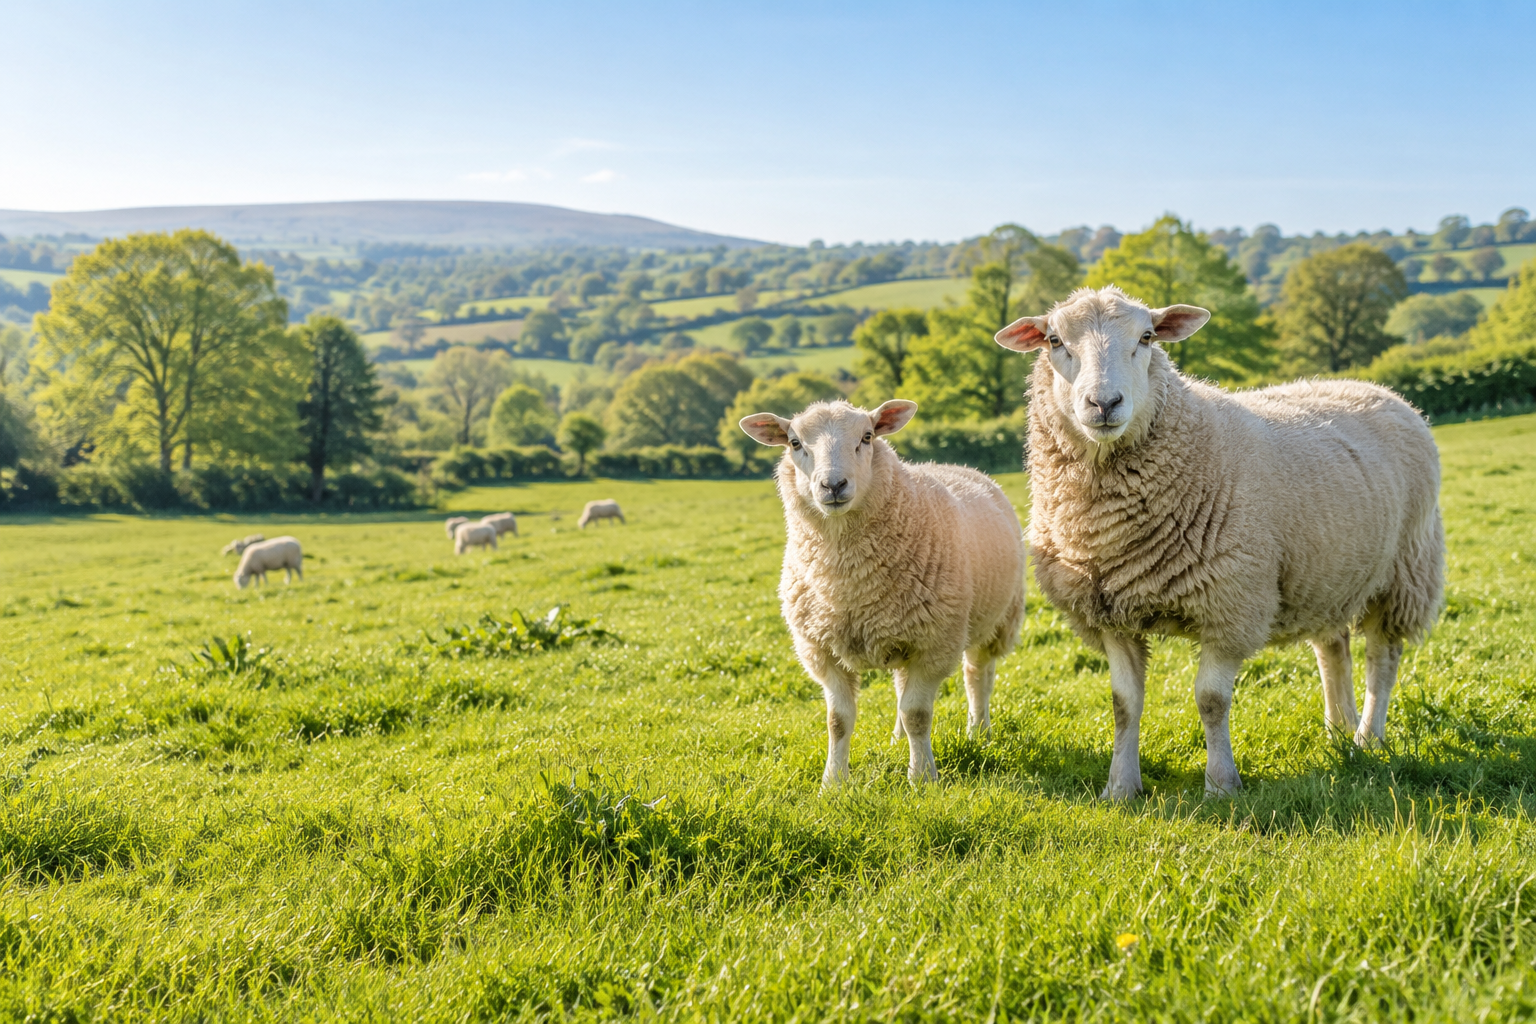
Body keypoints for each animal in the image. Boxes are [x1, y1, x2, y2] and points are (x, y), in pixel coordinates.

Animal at [740, 399, 1027, 786]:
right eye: (794, 443)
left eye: (867, 437)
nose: (833, 485)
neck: (849, 584)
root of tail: (957, 466)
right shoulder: (822, 650)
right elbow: (838, 721)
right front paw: (833, 782)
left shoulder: (933, 645)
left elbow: (918, 714)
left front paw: (922, 778)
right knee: (901, 688)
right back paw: (897, 740)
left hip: (996, 620)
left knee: (977, 676)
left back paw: (978, 732)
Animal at [995, 285, 1445, 799]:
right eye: (1054, 340)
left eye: (1147, 337)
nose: (1104, 403)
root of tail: (1377, 389)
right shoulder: (1110, 612)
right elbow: (1123, 704)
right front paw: (1120, 788)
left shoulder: (1231, 605)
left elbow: (1210, 700)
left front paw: (1221, 785)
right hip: (1327, 573)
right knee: (1333, 650)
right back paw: (1338, 731)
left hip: (1404, 572)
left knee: (1382, 658)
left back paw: (1368, 737)